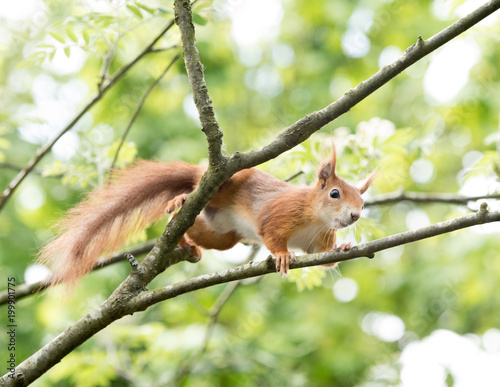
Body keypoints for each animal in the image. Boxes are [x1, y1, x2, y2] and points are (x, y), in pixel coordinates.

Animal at [39, 144, 376, 284]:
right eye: (335, 194)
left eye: (362, 201)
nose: (355, 216)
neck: (316, 218)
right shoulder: (280, 214)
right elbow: (271, 233)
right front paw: (281, 256)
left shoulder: (317, 241)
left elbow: (325, 259)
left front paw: (344, 247)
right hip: (226, 185)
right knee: (194, 191)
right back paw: (180, 200)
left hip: (223, 235)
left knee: (199, 231)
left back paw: (185, 242)